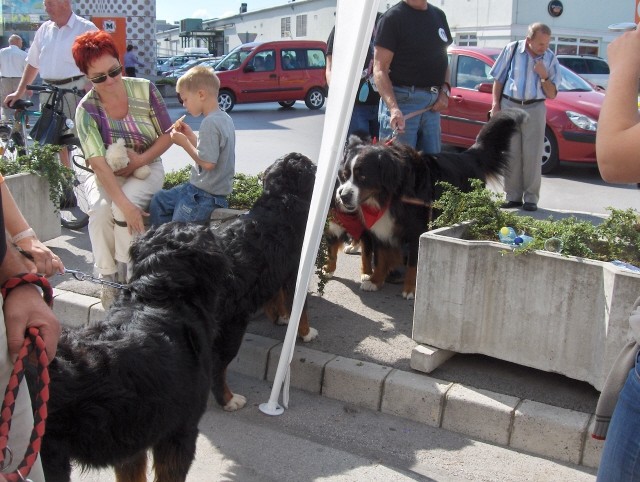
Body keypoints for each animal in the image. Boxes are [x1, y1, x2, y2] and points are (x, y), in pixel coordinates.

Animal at [336, 108, 524, 300]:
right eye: (344, 175)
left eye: (363, 177)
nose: (342, 195)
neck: (392, 192)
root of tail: (468, 155)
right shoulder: (382, 228)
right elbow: (381, 256)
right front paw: (375, 281)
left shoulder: (416, 230)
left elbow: (414, 263)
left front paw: (410, 289)